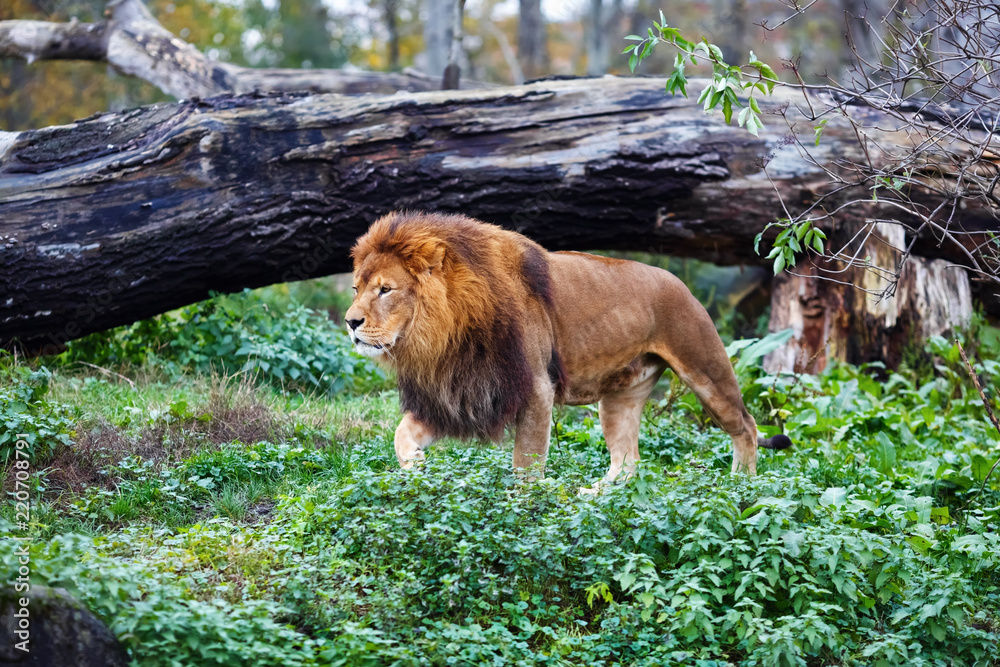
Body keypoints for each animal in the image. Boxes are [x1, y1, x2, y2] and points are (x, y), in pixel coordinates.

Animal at [345, 211, 790, 486]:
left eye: (385, 290)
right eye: (356, 288)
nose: (350, 322)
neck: (444, 336)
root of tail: (679, 282)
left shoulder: (535, 391)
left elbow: (526, 466)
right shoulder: (457, 395)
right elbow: (401, 433)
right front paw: (415, 469)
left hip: (705, 368)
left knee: (746, 425)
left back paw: (739, 486)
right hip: (620, 399)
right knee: (629, 462)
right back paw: (592, 499)